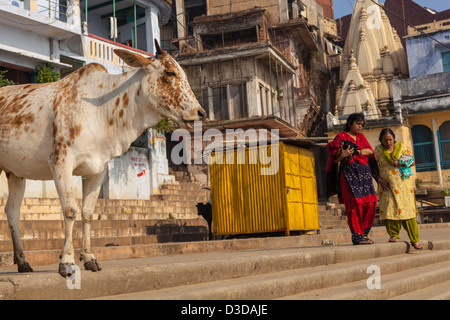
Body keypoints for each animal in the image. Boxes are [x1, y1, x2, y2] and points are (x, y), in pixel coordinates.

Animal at [0, 40, 207, 278]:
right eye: (170, 72)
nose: (200, 113)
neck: (102, 110)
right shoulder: (61, 163)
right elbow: (70, 210)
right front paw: (67, 262)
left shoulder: (97, 169)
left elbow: (88, 212)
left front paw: (89, 258)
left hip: (15, 173)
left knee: (12, 211)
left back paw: (22, 261)